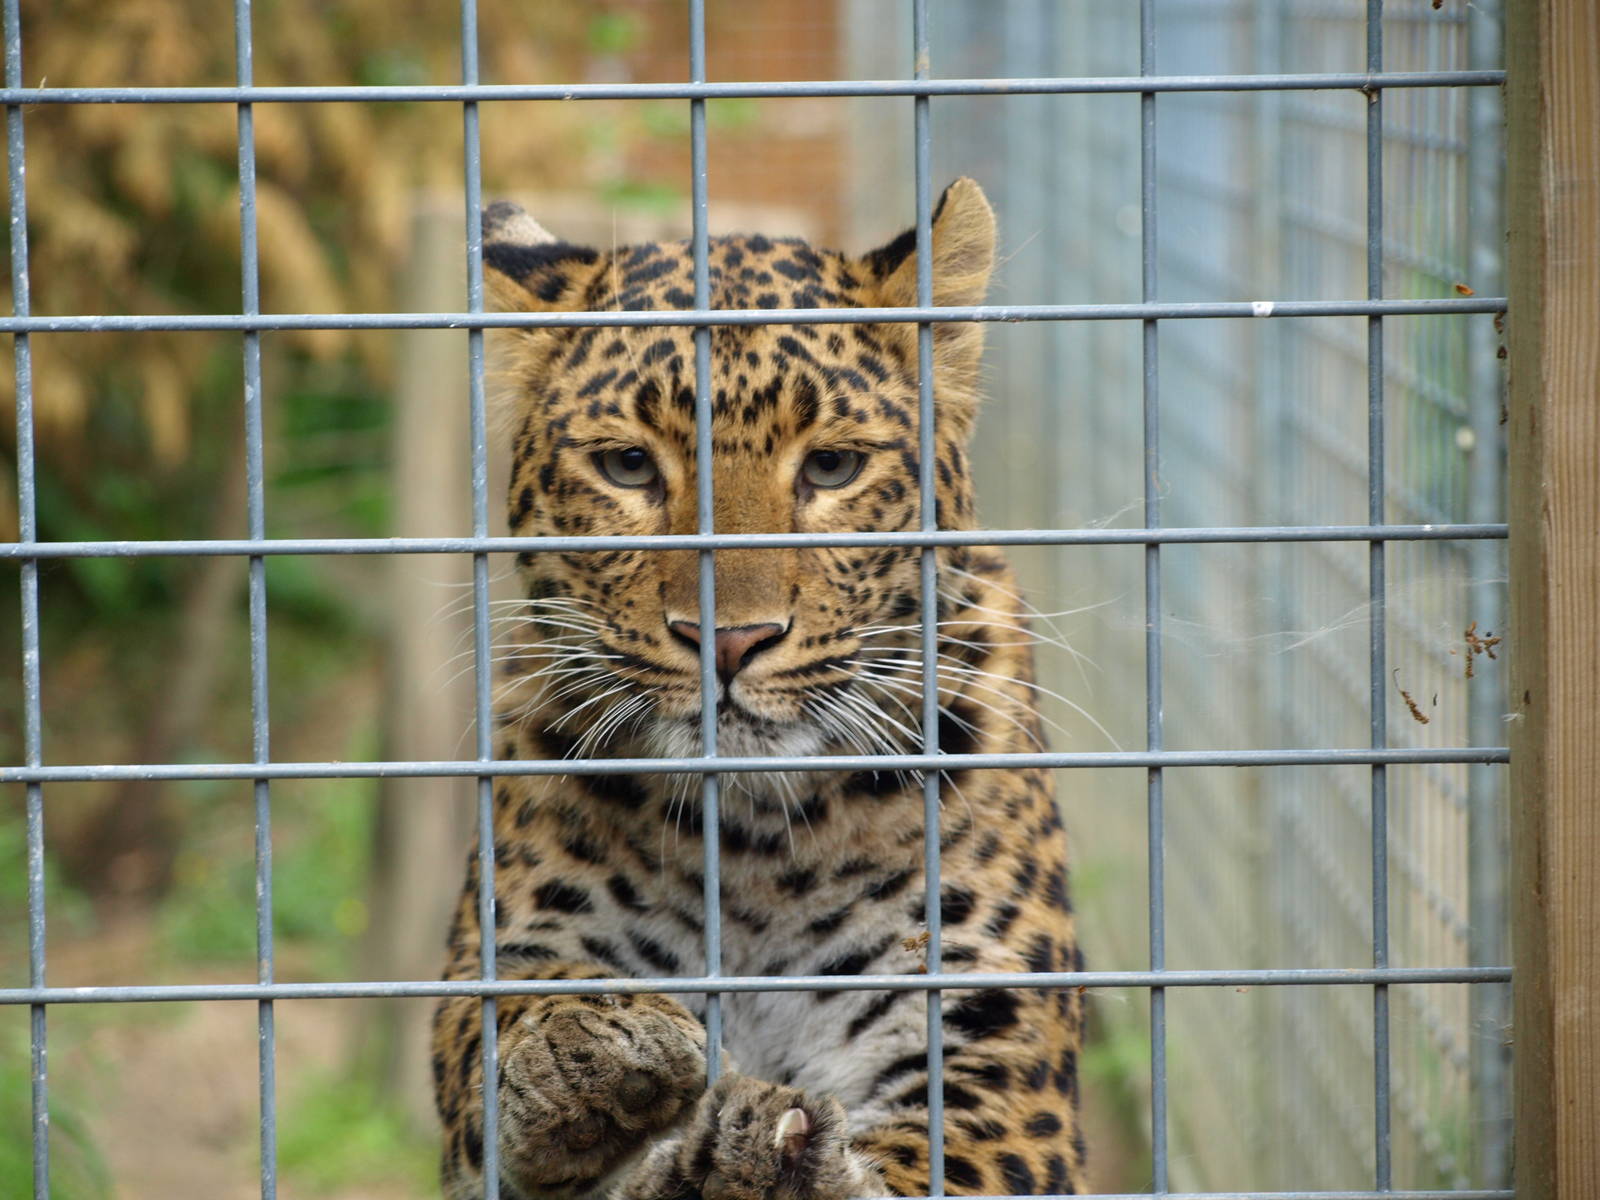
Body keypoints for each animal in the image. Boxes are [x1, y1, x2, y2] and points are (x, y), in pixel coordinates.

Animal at [432, 178, 1085, 1200]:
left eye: (832, 466)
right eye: (628, 466)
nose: (730, 640)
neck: (755, 846)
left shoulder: (997, 1052)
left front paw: (776, 1160)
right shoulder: (492, 960)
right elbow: (496, 1017)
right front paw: (584, 1046)